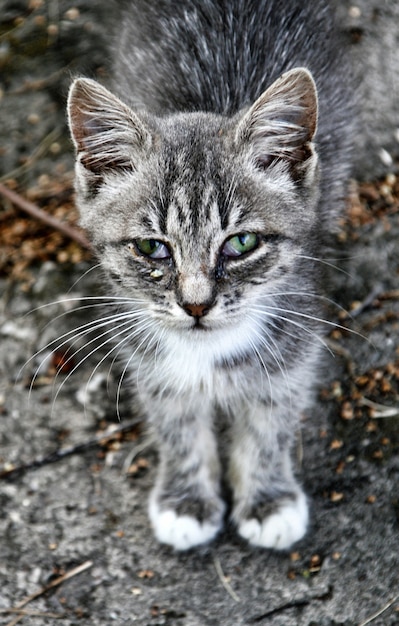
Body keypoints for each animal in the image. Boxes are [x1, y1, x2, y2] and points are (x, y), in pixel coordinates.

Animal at [68, 0, 354, 544]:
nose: (196, 304)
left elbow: (271, 421)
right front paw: (185, 500)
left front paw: (268, 499)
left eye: (240, 243)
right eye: (152, 248)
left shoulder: (294, 346)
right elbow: (176, 424)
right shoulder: (150, 357)